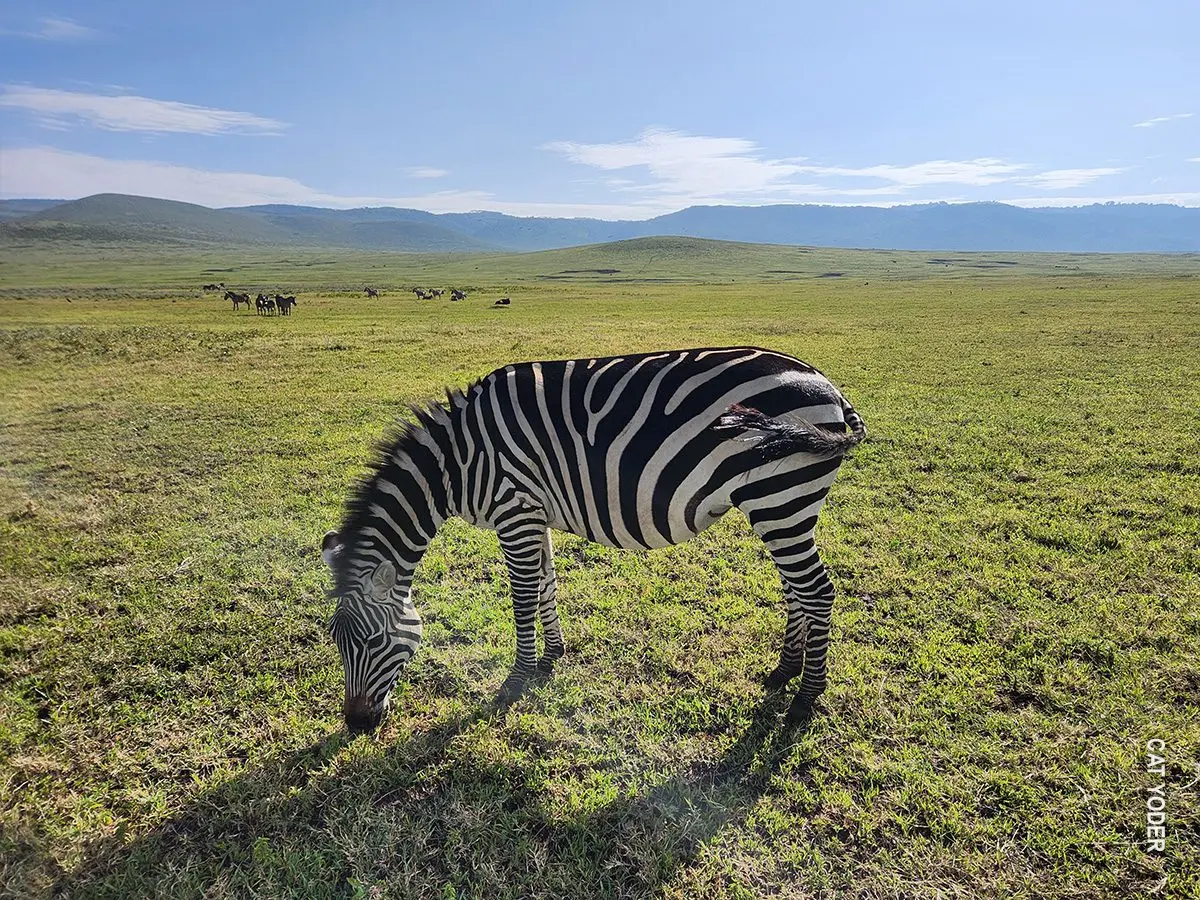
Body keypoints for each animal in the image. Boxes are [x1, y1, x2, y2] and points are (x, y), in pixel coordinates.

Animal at [322, 346, 866, 733]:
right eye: (336, 643)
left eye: (372, 641)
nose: (357, 725)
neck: (458, 462)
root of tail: (830, 388)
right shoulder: (532, 513)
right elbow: (546, 584)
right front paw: (552, 657)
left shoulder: (514, 509)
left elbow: (523, 596)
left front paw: (515, 680)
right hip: (780, 506)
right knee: (797, 590)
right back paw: (784, 670)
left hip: (780, 497)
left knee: (817, 591)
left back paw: (806, 697)